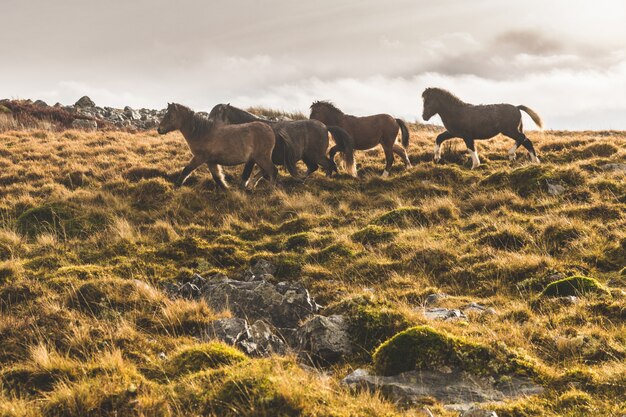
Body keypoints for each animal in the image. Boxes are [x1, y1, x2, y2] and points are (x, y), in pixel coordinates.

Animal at [208, 104, 356, 177]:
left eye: (214, 115)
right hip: (307, 156)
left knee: (329, 165)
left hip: (316, 155)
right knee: (314, 167)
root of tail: (325, 126)